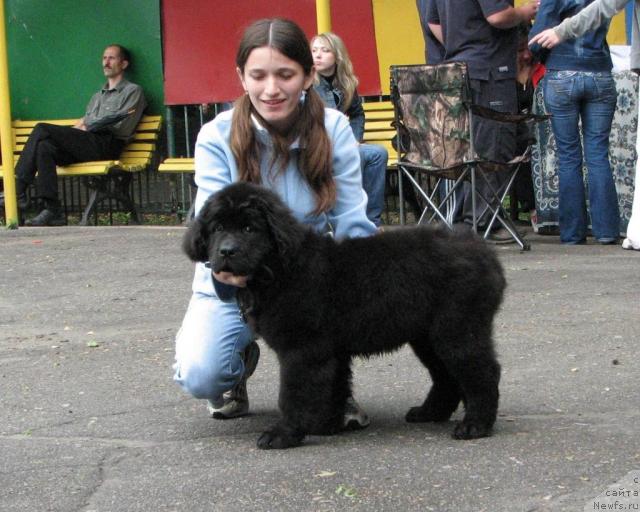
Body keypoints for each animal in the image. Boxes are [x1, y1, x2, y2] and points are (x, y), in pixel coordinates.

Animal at [182, 183, 508, 448]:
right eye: (217, 228)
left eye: (250, 229)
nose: (226, 252)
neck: (281, 268)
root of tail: (484, 252)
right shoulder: (330, 351)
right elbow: (333, 387)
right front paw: (327, 425)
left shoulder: (303, 349)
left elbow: (294, 393)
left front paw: (283, 434)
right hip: (427, 335)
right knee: (446, 376)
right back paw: (429, 413)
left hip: (457, 328)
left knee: (481, 372)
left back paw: (475, 426)